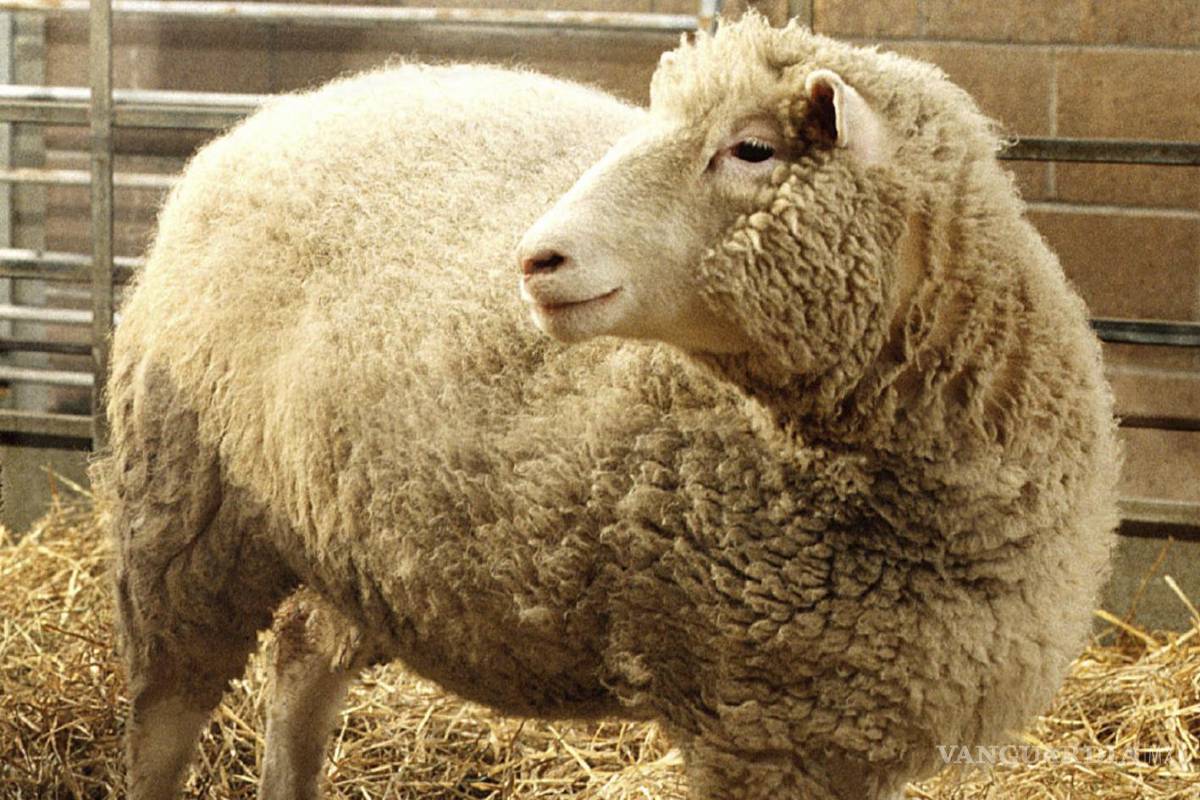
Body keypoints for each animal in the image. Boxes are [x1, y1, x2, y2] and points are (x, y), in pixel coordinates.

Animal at [96, 14, 1120, 800]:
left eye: (752, 149)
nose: (535, 259)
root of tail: (271, 118)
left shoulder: (844, 726)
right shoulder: (758, 726)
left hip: (350, 534)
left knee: (302, 659)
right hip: (186, 511)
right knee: (165, 718)